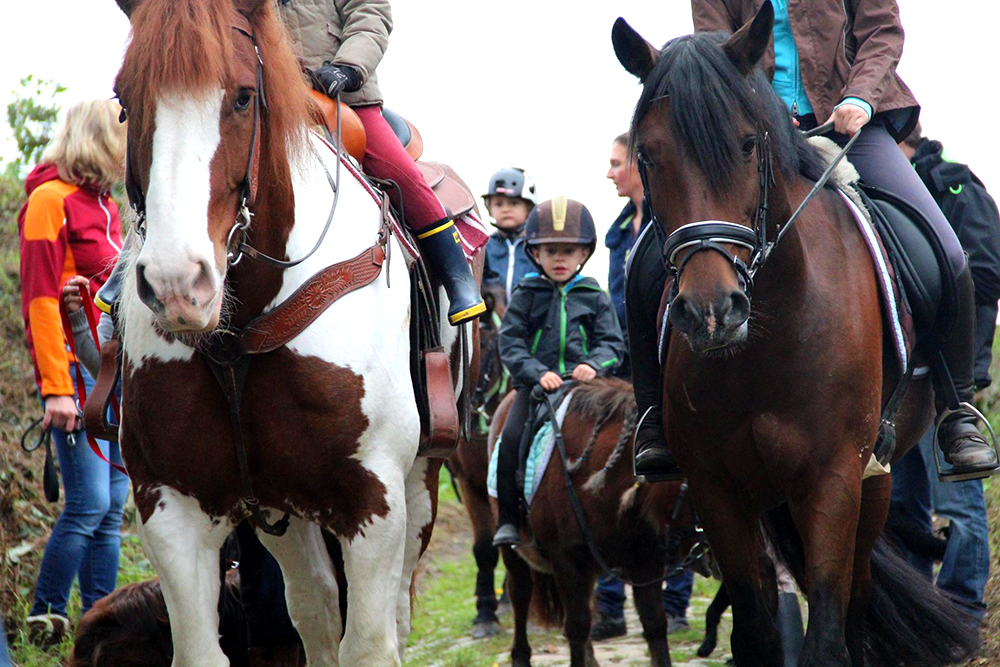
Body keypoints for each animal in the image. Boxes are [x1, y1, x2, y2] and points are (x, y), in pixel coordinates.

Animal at [112, 0, 460, 664]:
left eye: (244, 97)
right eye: (123, 98)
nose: (177, 283)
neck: (240, 332)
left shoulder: (373, 501)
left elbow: (369, 643)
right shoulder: (170, 506)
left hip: (421, 480)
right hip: (283, 511)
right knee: (314, 610)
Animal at [492, 380, 704, 667]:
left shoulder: (644, 559)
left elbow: (654, 623)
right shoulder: (567, 560)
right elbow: (577, 627)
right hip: (514, 553)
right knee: (520, 595)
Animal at [612, 6, 980, 667]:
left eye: (747, 143)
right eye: (648, 155)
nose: (711, 313)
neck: (766, 337)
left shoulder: (833, 479)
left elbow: (828, 636)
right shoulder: (717, 489)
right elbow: (757, 634)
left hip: (876, 478)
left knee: (858, 600)